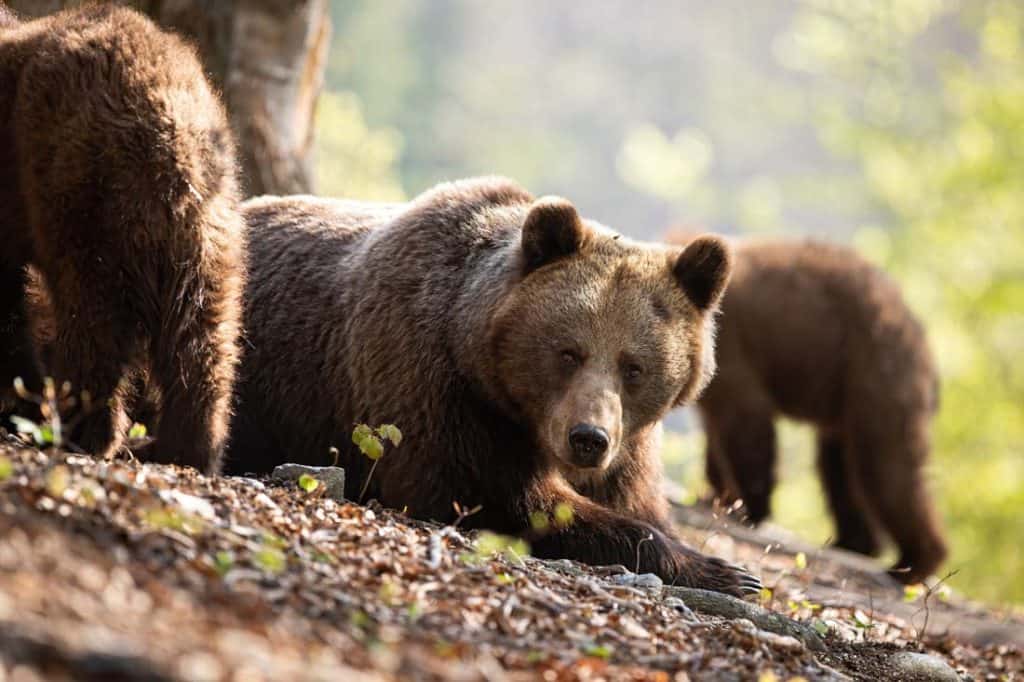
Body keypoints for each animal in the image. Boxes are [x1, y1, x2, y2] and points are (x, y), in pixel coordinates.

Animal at [0, 6, 243, 473]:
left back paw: (82, 430)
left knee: (93, 318)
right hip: (209, 232)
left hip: (82, 198)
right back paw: (191, 448)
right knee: (203, 337)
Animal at [228, 176, 761, 593]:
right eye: (569, 352)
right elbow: (501, 497)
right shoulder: (436, 393)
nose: (587, 438)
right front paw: (728, 572)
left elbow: (635, 499)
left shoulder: (630, 444)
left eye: (634, 366)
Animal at [667, 231, 946, 581]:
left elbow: (747, 422)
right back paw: (854, 541)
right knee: (839, 469)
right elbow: (718, 438)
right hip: (844, 393)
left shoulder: (734, 350)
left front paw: (745, 507)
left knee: (887, 466)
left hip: (875, 371)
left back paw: (912, 564)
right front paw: (716, 497)